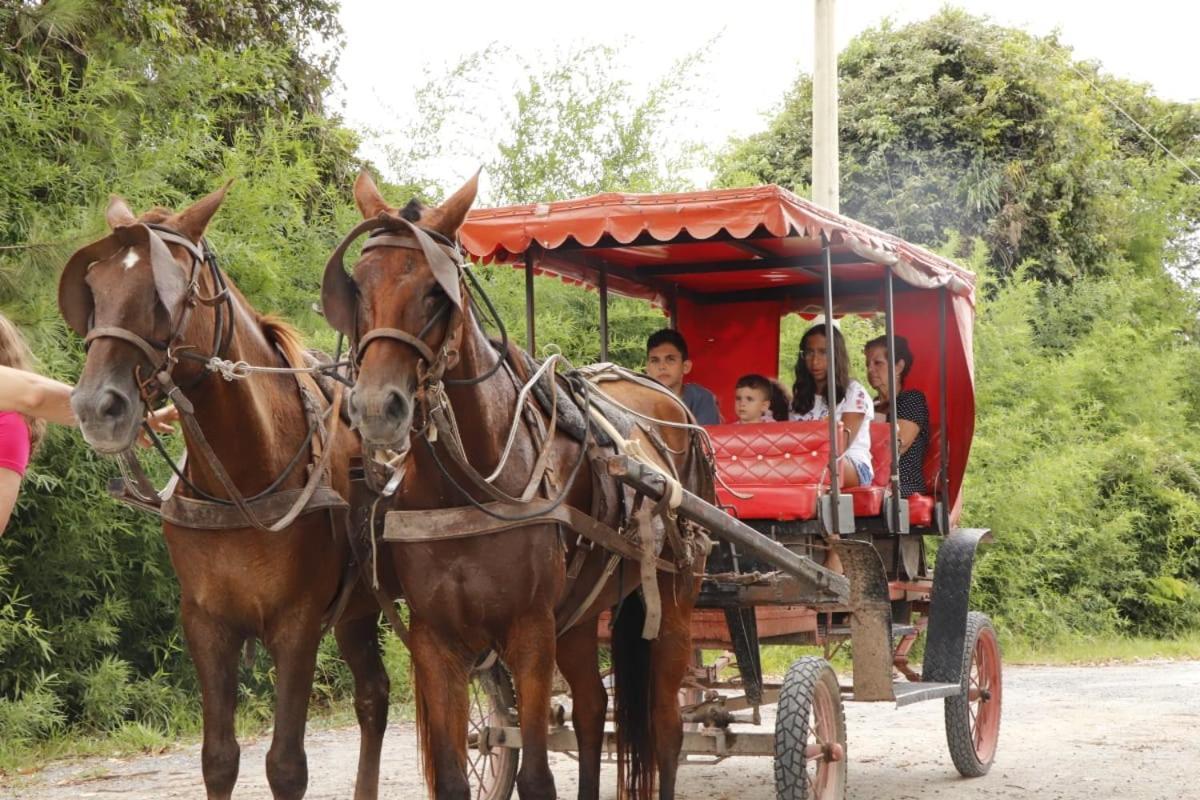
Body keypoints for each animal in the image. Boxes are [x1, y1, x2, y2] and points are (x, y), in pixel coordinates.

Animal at [64, 184, 388, 796]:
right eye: (94, 290)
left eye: (164, 294)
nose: (96, 407)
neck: (244, 478)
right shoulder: (206, 623)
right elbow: (218, 757)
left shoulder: (297, 624)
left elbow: (285, 765)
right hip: (357, 611)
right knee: (373, 699)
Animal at [321, 170, 710, 800]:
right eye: (356, 287)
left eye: (436, 293)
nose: (377, 408)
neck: (469, 489)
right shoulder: (436, 640)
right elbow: (454, 776)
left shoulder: (530, 632)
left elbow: (535, 777)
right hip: (579, 614)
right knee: (591, 708)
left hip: (675, 599)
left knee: (666, 724)